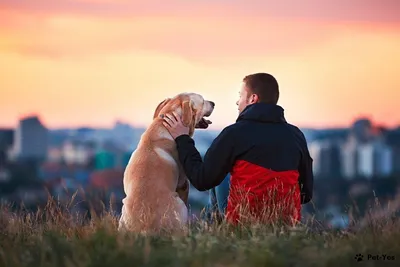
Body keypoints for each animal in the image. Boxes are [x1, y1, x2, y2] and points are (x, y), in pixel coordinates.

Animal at [119, 93, 216, 236]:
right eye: (203, 101)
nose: (214, 103)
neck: (163, 126)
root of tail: (145, 229)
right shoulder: (183, 183)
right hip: (179, 204)